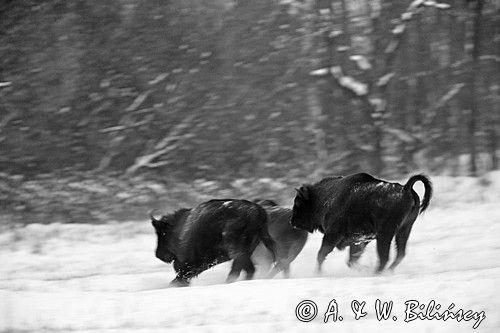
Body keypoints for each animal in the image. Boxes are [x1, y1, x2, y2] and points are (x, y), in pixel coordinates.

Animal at [292, 174, 432, 272]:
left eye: (298, 203)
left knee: (385, 256)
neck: (324, 197)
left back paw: (376, 273)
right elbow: (351, 260)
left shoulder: (333, 234)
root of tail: (406, 188)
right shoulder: (358, 240)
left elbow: (321, 254)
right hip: (404, 230)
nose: (292, 221)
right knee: (400, 254)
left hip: (385, 234)